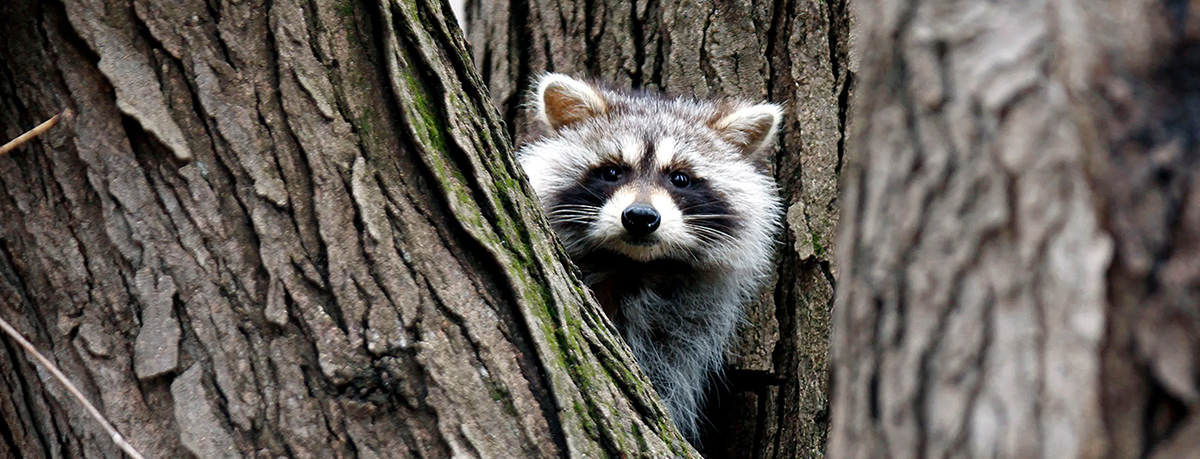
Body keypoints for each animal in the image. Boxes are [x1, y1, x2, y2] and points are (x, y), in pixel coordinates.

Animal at [518, 73, 787, 439]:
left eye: (680, 178)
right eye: (612, 172)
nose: (640, 216)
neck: (631, 265)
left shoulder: (682, 324)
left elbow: (666, 375)